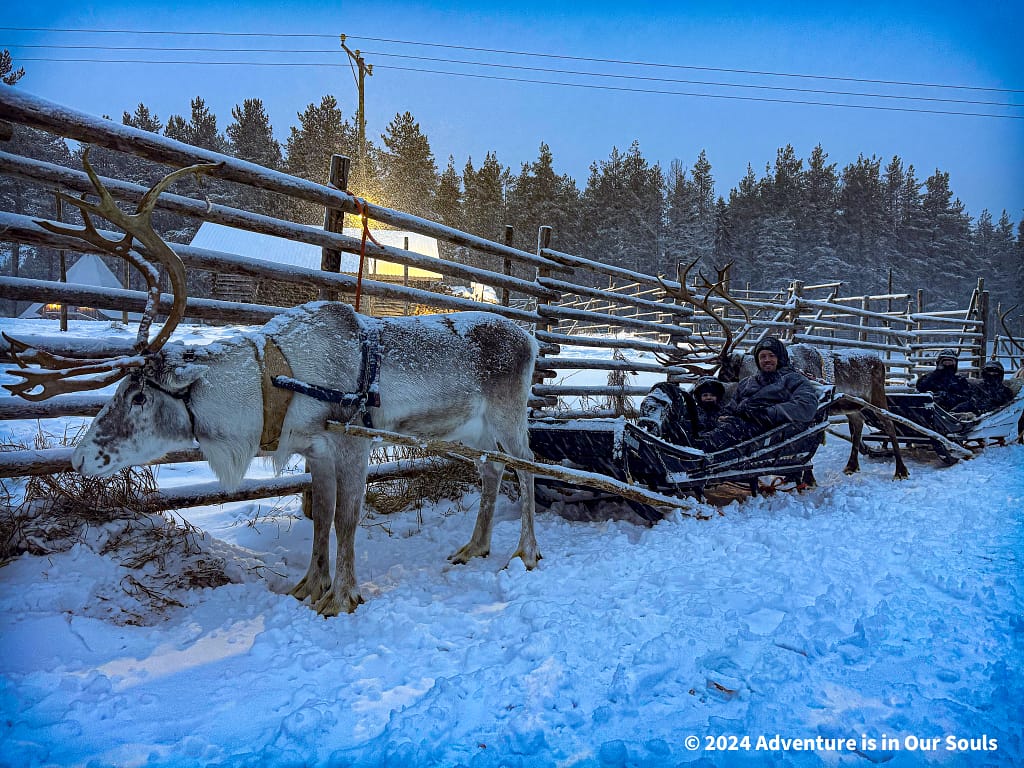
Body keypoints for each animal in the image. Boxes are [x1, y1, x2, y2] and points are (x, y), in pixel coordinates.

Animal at [3, 153, 540, 617]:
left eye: (137, 396)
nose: (78, 458)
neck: (274, 385)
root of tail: (530, 338)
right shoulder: (316, 451)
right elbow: (322, 519)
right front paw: (309, 586)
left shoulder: (352, 441)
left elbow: (347, 519)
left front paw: (342, 597)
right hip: (474, 429)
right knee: (494, 470)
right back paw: (475, 546)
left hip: (508, 415)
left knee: (528, 465)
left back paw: (526, 552)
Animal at [657, 259, 909, 480]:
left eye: (725, 373)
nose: (710, 390)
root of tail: (880, 362)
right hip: (852, 406)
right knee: (857, 426)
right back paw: (851, 466)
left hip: (877, 398)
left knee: (891, 425)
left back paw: (901, 470)